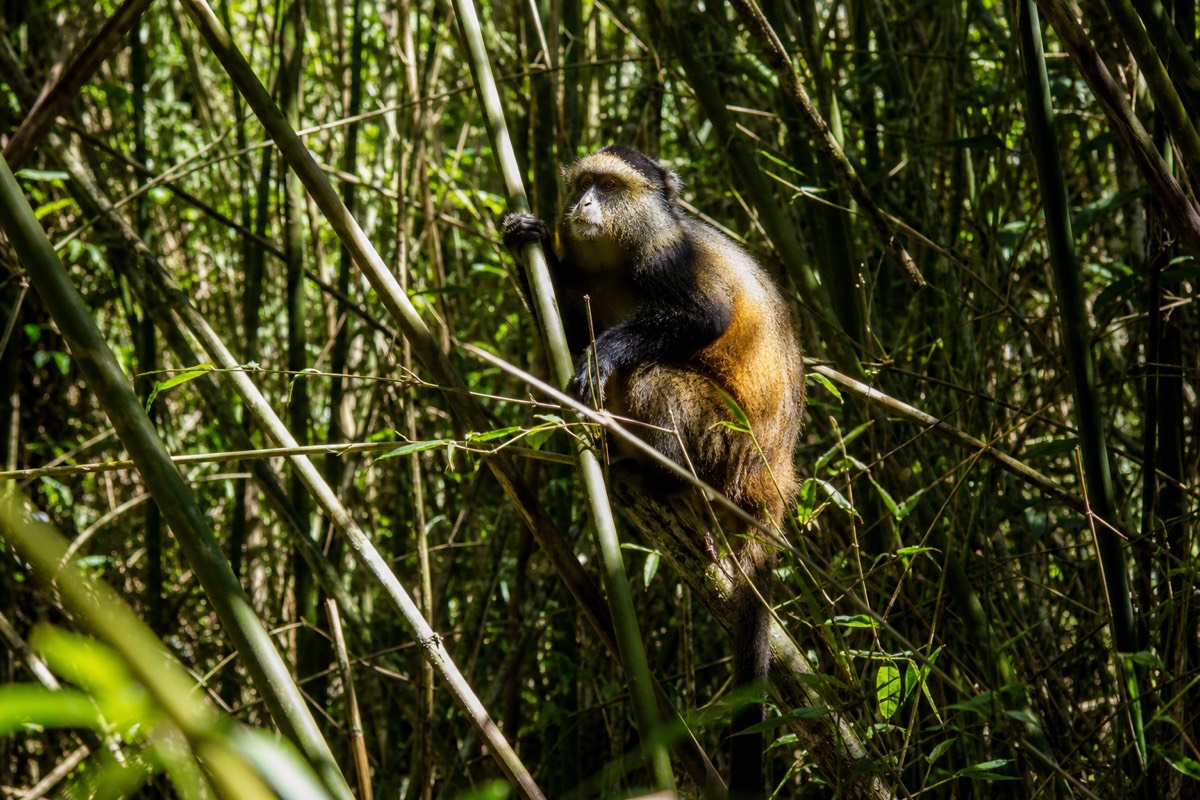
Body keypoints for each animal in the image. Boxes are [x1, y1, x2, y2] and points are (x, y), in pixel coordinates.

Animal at [503, 145, 803, 798]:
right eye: (582, 184)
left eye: (611, 187)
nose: (585, 204)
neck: (619, 258)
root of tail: (772, 482)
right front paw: (525, 238)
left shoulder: (670, 259)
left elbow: (703, 315)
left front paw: (604, 355)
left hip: (727, 447)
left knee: (651, 374)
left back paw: (663, 478)